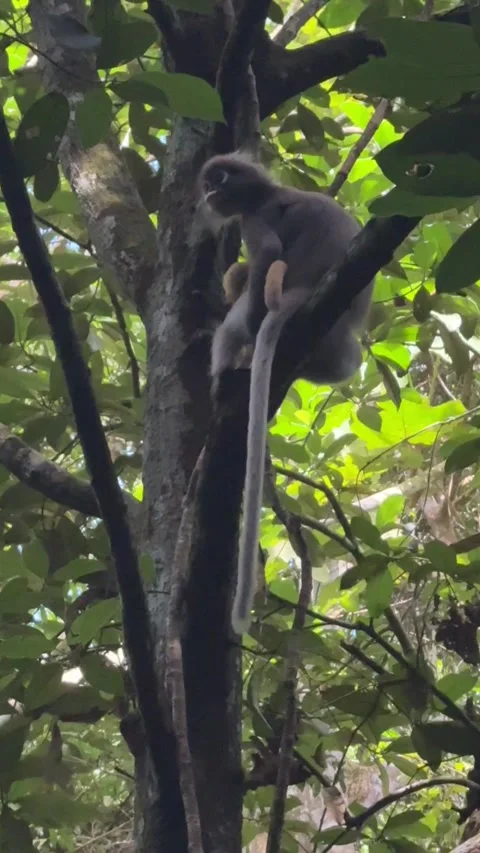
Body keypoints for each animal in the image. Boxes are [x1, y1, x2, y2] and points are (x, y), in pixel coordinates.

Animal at [198, 153, 373, 634]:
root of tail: (304, 292)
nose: (209, 193)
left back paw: (225, 373)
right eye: (206, 184)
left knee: (241, 305)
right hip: (338, 344)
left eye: (219, 178)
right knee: (346, 362)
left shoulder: (254, 219)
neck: (266, 191)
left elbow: (268, 253)